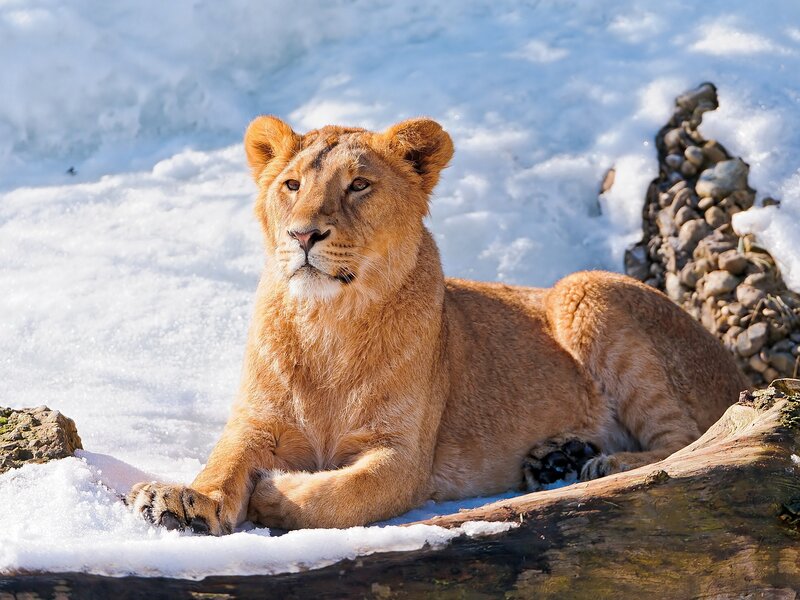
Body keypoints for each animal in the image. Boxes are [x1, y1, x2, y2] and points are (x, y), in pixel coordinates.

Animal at [127, 116, 748, 534]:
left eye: (358, 185)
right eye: (292, 185)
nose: (303, 235)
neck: (327, 321)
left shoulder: (405, 457)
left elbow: (340, 495)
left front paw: (276, 491)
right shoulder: (257, 422)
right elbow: (224, 461)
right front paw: (181, 500)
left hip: (584, 288)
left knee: (688, 441)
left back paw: (601, 464)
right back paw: (557, 459)